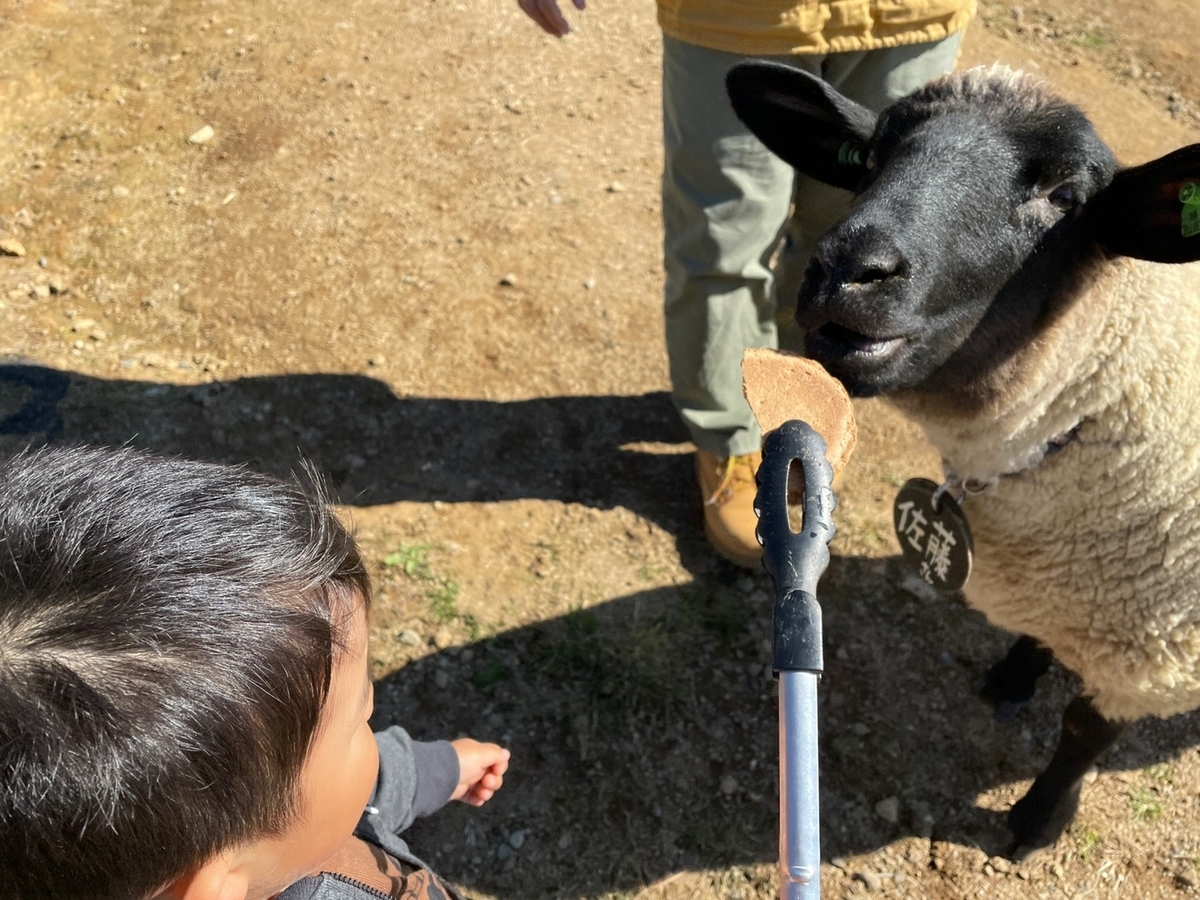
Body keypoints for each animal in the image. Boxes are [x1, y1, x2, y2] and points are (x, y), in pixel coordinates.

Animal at [724, 65, 1200, 859]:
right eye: (869, 157)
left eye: (1065, 197)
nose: (847, 270)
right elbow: (1036, 637)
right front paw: (1013, 678)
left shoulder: (1152, 652)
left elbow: (1083, 733)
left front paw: (1036, 823)